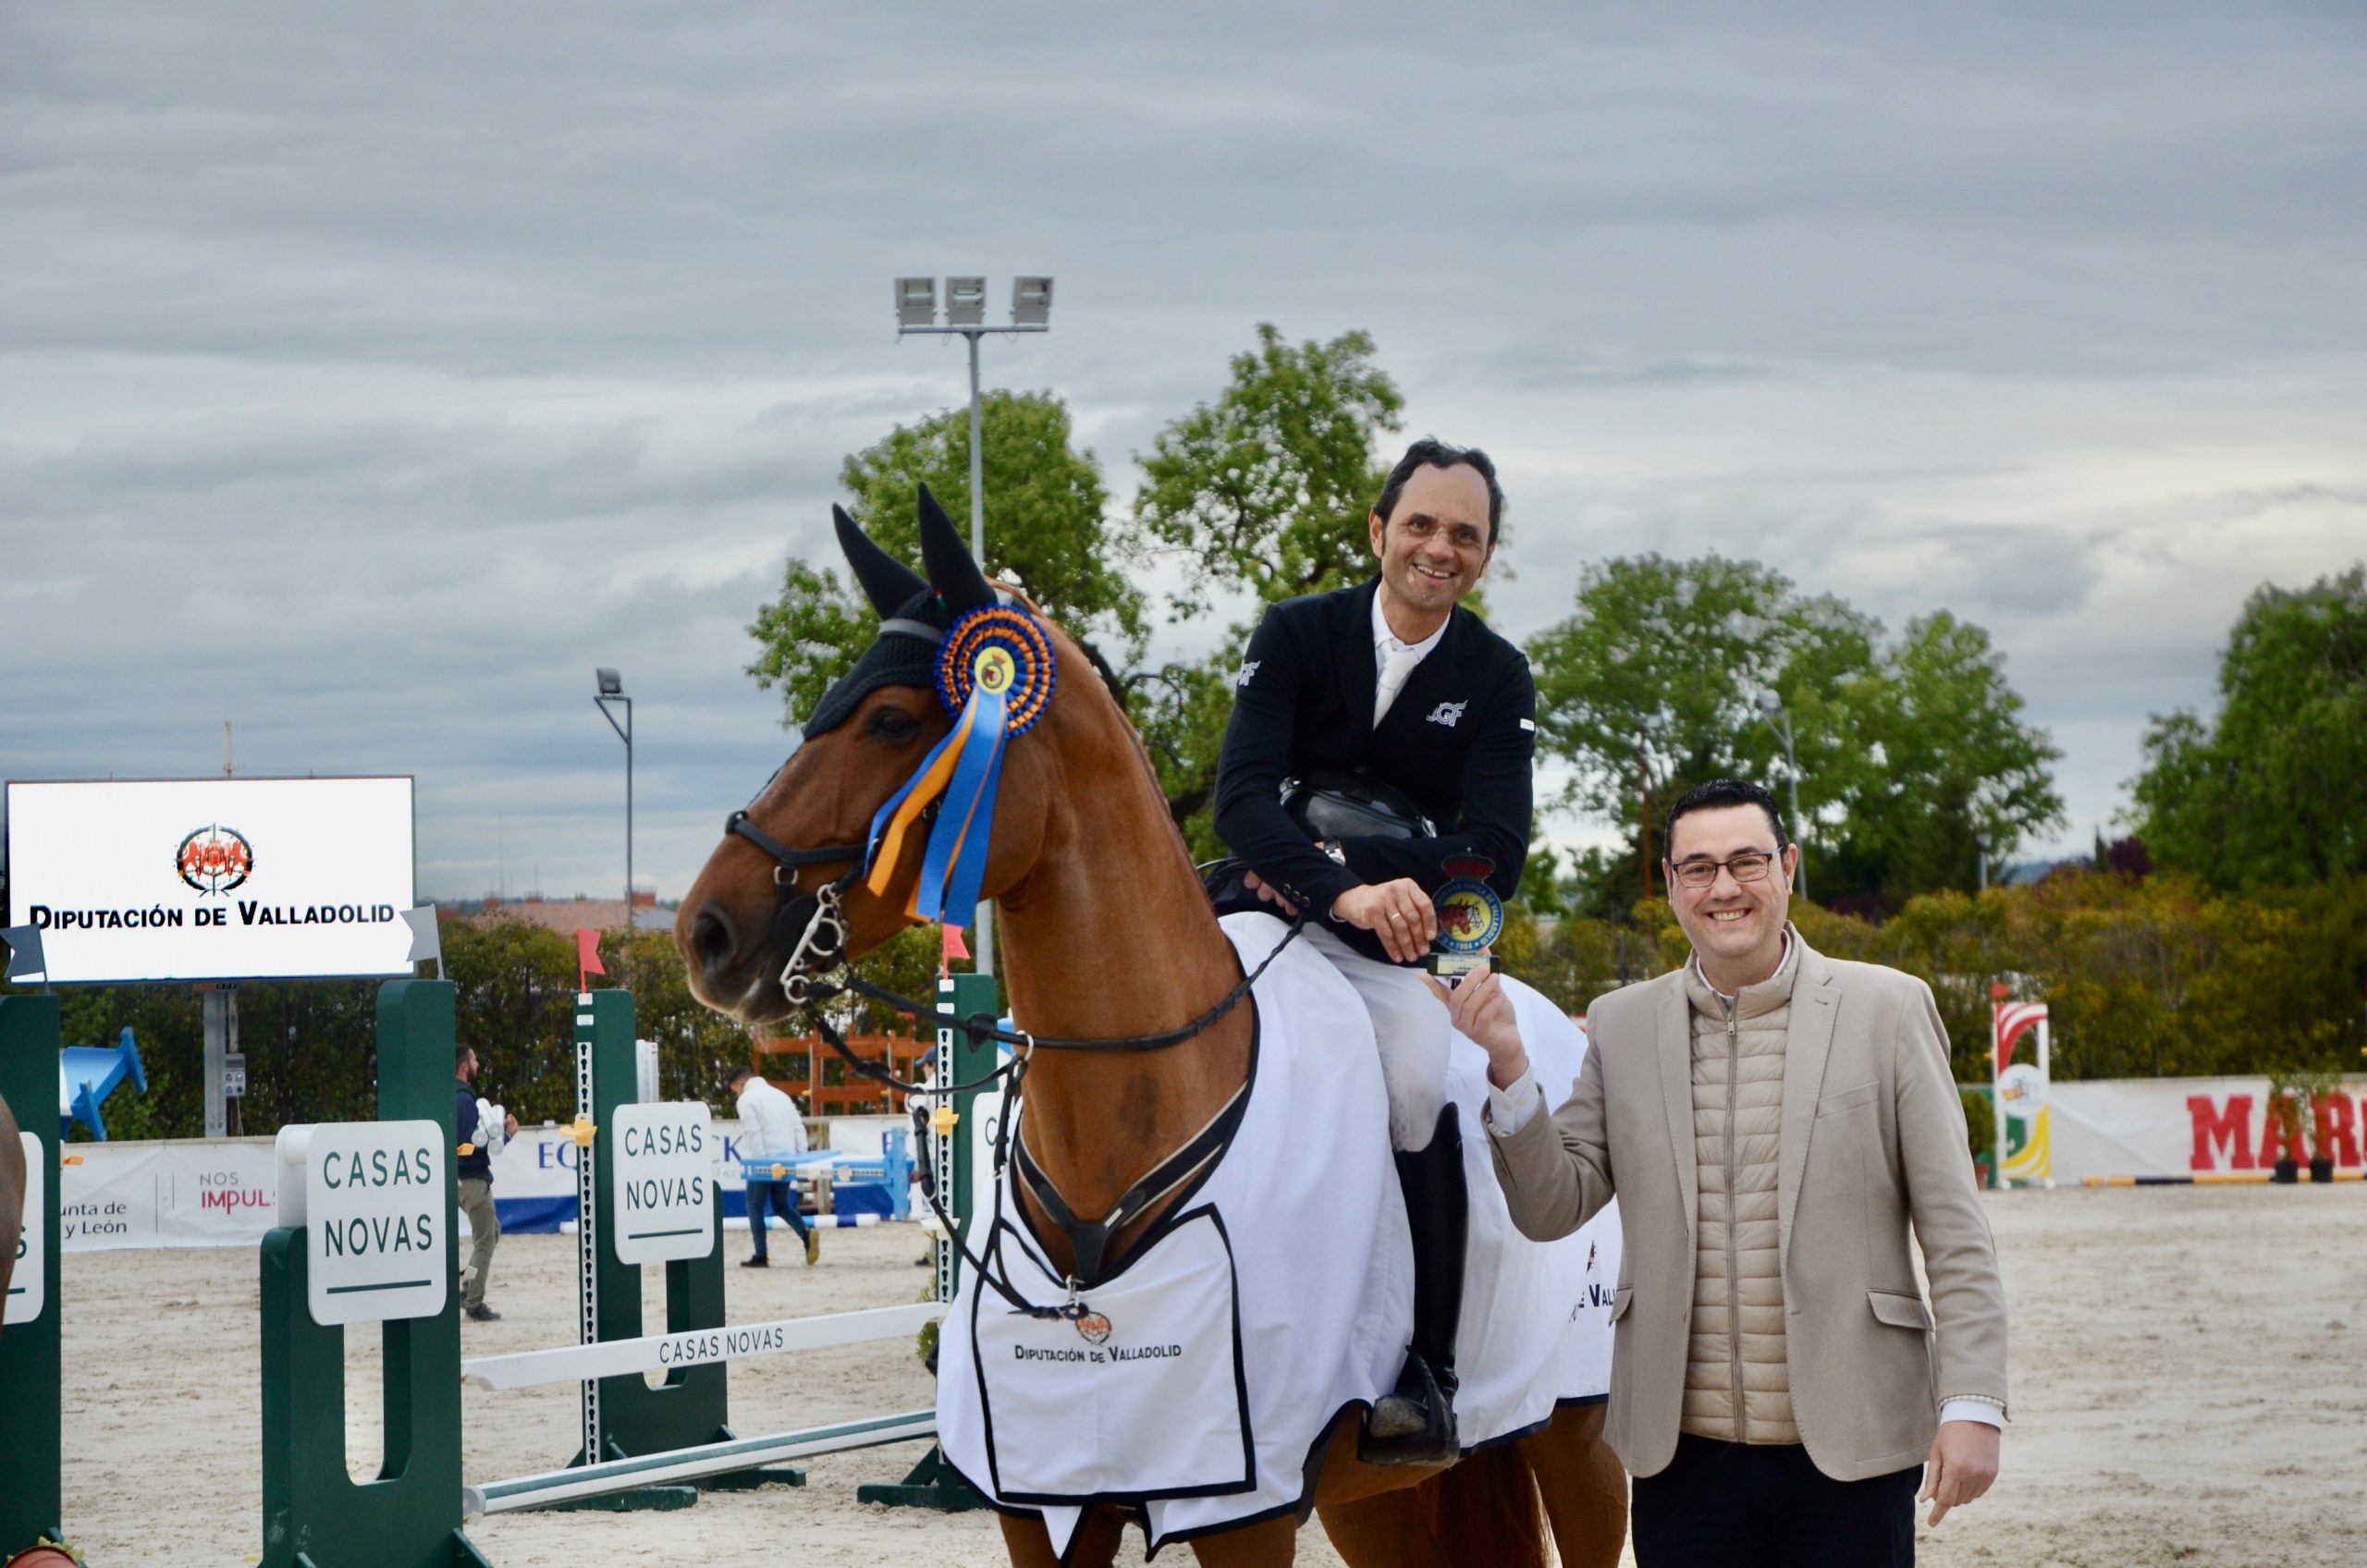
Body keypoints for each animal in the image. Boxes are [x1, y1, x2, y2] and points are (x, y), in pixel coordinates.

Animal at [677, 495, 1619, 1568]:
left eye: (889, 720)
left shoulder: (1246, 1512)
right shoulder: (1045, 1507)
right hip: (1375, 1499)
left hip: (1580, 1435)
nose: (707, 932)